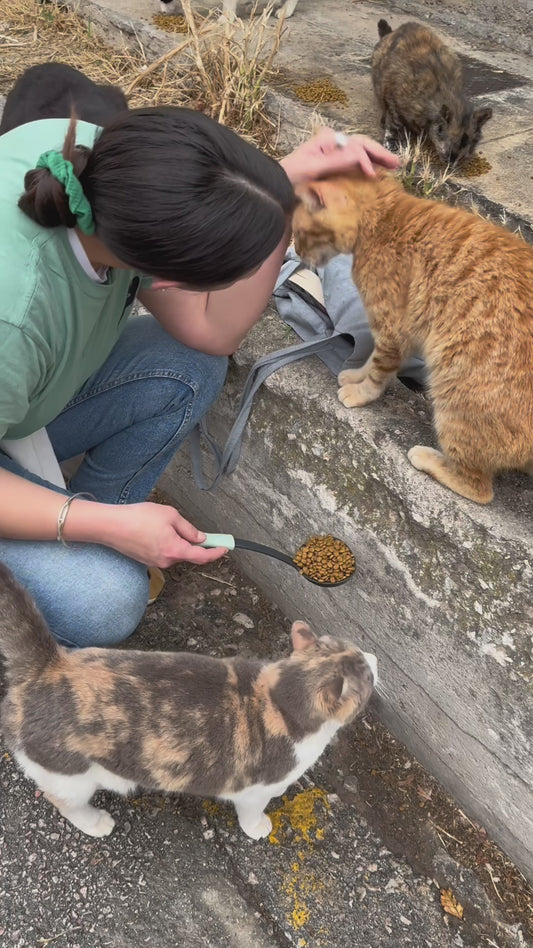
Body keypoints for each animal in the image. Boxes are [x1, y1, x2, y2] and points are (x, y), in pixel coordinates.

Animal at [0, 564, 374, 836]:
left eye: (360, 653)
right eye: (368, 676)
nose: (373, 657)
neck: (279, 697)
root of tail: (50, 665)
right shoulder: (254, 790)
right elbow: (252, 810)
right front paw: (257, 827)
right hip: (67, 773)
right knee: (63, 799)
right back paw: (94, 822)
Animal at [290, 174, 532, 508]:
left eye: (300, 232)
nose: (298, 251)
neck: (383, 215)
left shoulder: (393, 330)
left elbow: (378, 372)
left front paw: (360, 392)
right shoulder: (398, 333)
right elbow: (372, 361)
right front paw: (355, 375)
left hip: (454, 398)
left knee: (480, 489)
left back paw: (427, 458)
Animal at [370, 19, 490, 167]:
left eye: (468, 142)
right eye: (441, 130)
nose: (452, 160)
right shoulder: (394, 101)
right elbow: (394, 123)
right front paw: (391, 141)